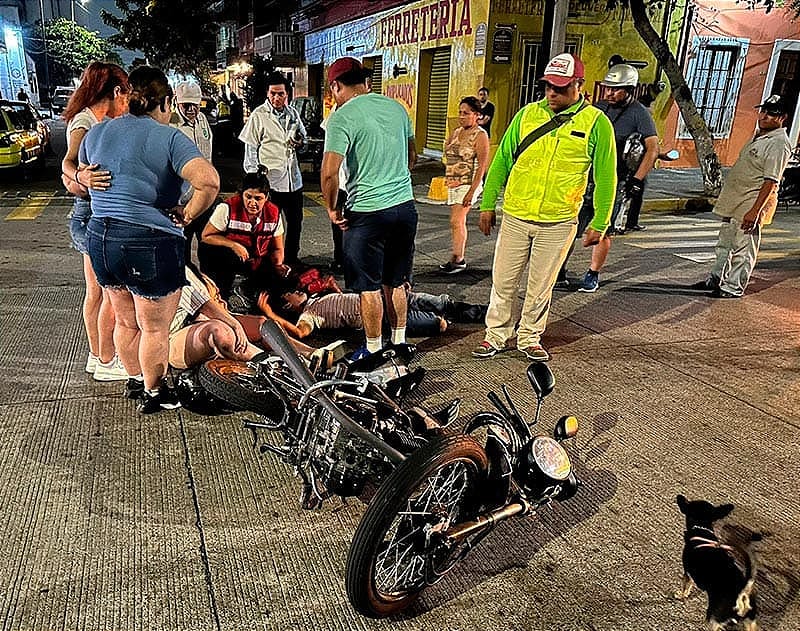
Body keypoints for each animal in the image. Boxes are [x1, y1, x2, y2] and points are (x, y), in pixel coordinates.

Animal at [672, 496, 760, 628]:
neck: (701, 529)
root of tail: (742, 593)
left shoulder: (687, 573)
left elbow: (686, 587)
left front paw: (681, 595)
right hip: (751, 621)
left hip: (714, 618)